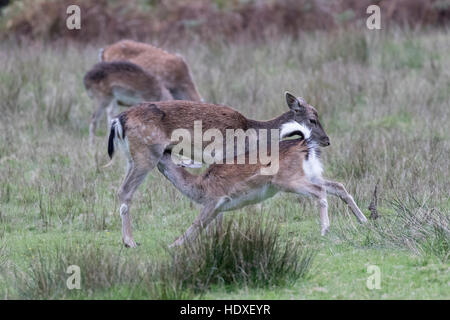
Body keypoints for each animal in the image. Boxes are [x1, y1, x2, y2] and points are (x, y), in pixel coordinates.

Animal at [105, 92, 330, 248]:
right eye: (312, 119)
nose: (327, 140)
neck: (252, 135)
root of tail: (118, 120)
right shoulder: (225, 156)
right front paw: (218, 236)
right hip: (145, 155)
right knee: (125, 191)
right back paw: (129, 241)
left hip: (131, 158)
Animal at [158, 122, 370, 248]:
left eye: (164, 153)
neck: (199, 186)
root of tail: (304, 143)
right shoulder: (217, 208)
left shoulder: (215, 200)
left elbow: (196, 224)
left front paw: (173, 245)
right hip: (312, 174)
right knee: (338, 186)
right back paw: (364, 220)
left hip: (288, 181)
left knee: (320, 191)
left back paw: (325, 229)